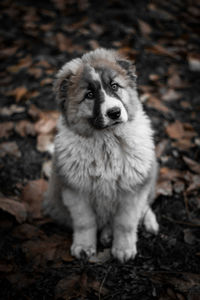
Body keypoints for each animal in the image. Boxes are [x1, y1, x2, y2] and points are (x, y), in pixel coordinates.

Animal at [43, 48, 159, 262]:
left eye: (115, 86)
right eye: (89, 95)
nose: (114, 112)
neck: (107, 141)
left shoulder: (133, 189)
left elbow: (125, 223)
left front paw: (123, 249)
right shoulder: (75, 191)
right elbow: (85, 222)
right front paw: (83, 246)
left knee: (146, 205)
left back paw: (148, 223)